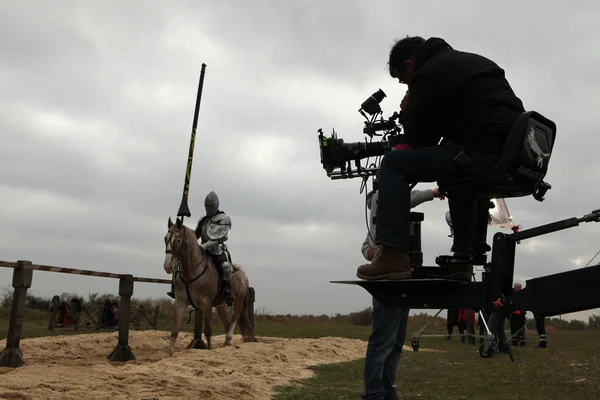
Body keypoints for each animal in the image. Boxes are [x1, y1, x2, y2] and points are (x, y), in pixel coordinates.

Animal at [164, 217, 258, 354]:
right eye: (165, 239)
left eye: (178, 240)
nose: (168, 267)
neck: (192, 271)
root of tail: (243, 275)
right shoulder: (179, 303)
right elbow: (175, 330)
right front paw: (170, 352)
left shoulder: (206, 304)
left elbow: (208, 331)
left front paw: (209, 349)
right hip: (221, 305)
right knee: (227, 322)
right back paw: (227, 344)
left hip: (239, 299)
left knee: (235, 317)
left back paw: (228, 339)